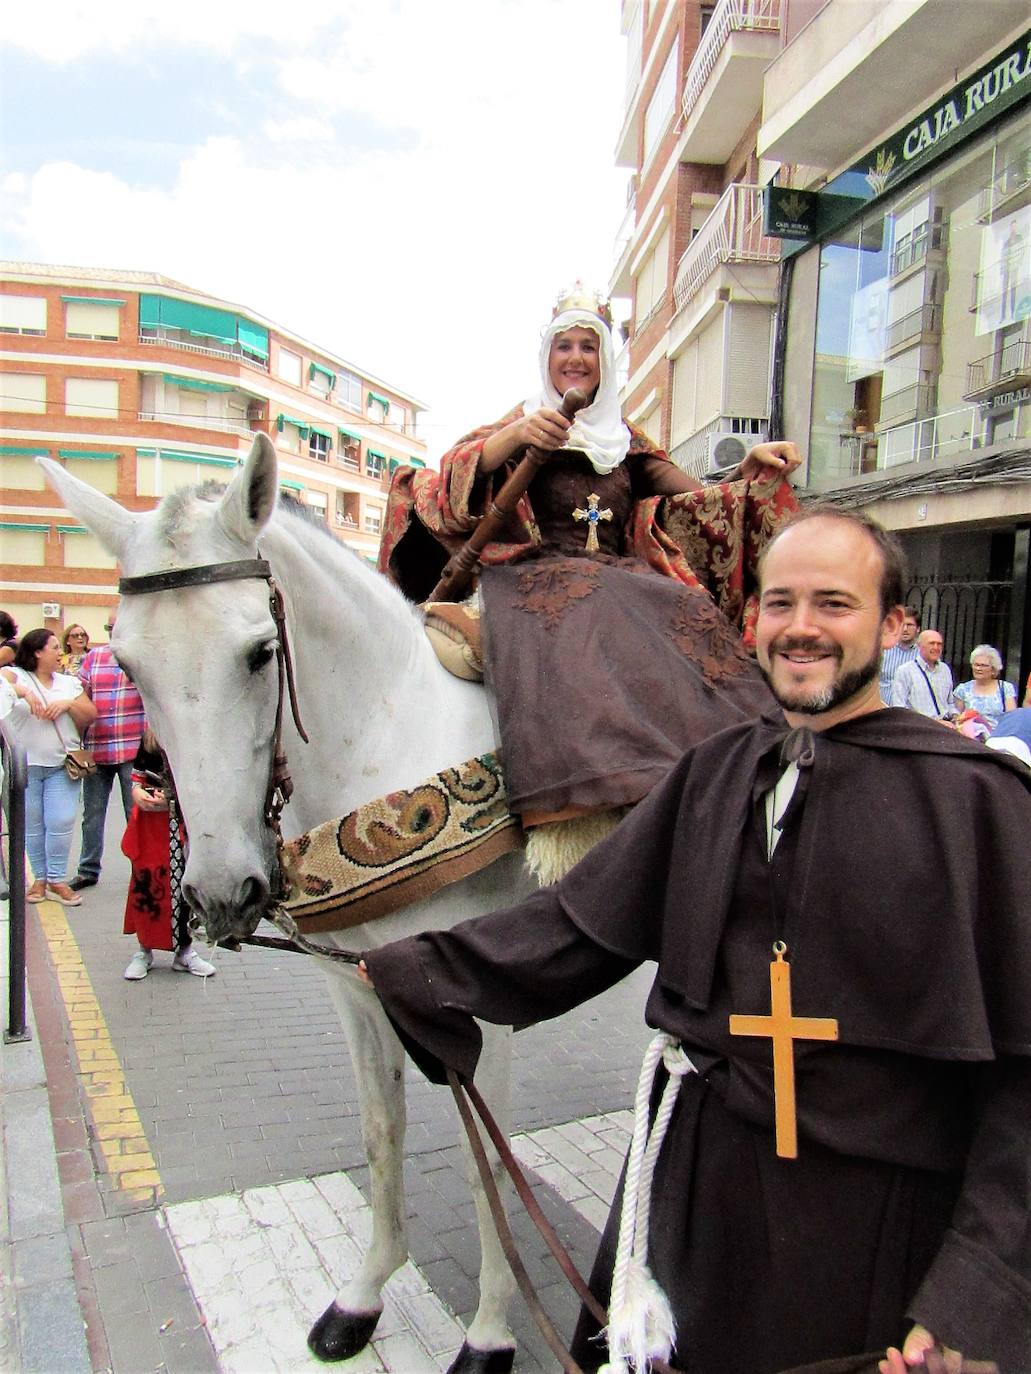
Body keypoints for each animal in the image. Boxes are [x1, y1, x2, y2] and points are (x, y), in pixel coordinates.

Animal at [41, 439, 536, 1374]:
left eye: (259, 652)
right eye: (127, 668)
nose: (220, 891)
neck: (389, 739)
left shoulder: (473, 999)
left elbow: (484, 1155)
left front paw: (490, 1333)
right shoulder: (357, 986)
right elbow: (381, 1133)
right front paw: (362, 1297)